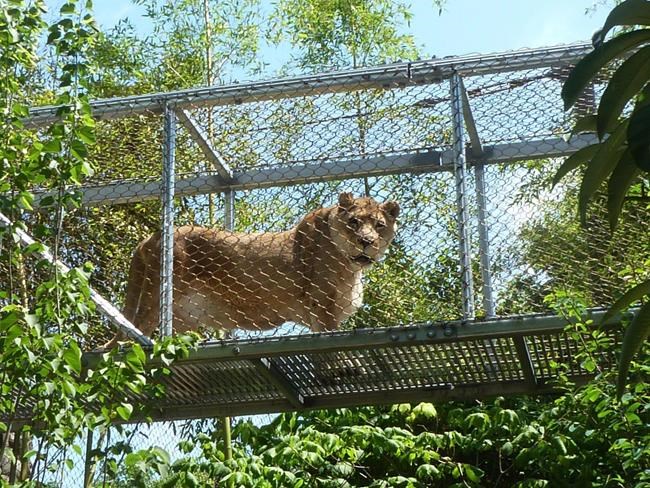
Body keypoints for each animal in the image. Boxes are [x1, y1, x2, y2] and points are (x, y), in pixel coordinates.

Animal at [103, 192, 399, 348]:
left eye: (379, 225)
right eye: (354, 222)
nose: (367, 241)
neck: (349, 265)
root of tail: (148, 239)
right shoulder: (321, 303)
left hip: (183, 316)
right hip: (155, 297)